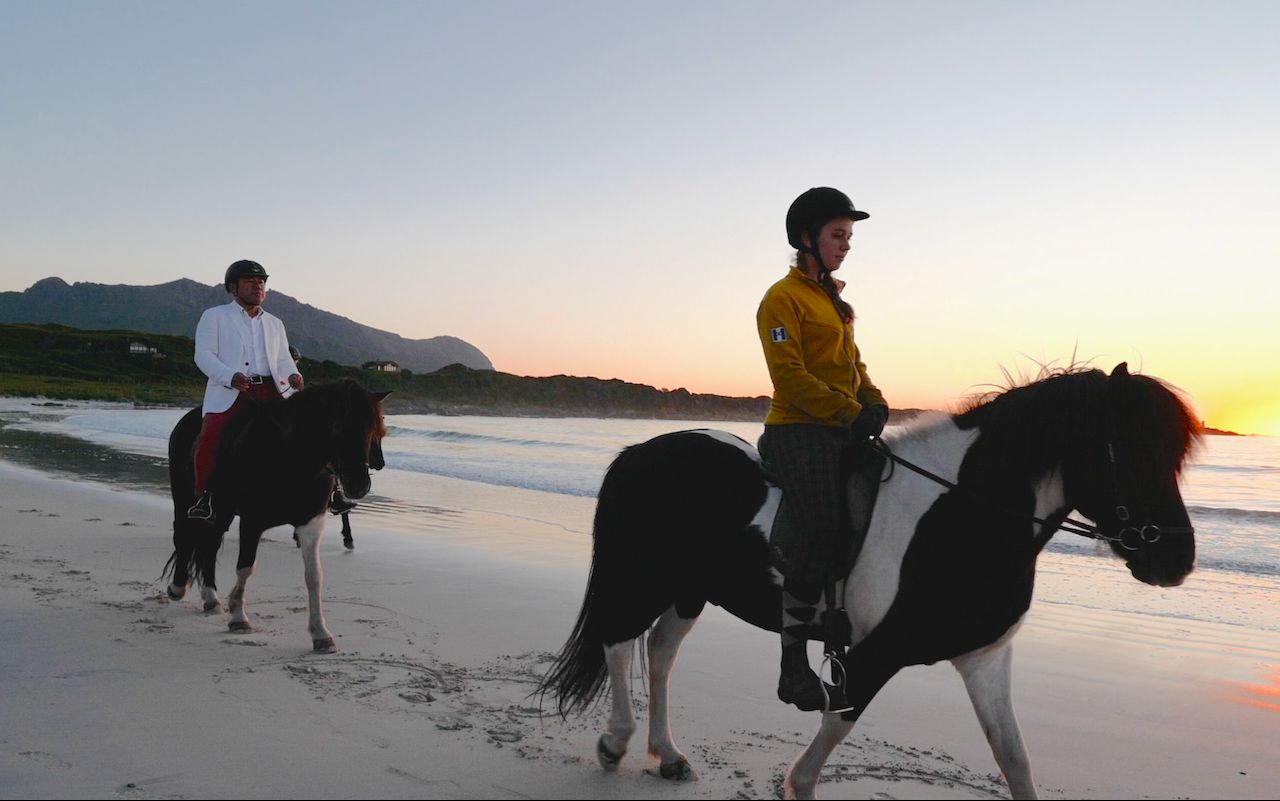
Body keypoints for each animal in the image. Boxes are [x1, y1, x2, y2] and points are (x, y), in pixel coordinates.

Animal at [165, 376, 386, 650]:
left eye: (372, 428)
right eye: (338, 426)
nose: (359, 485)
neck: (292, 457)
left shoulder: (311, 523)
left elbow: (314, 576)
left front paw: (320, 632)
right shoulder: (251, 521)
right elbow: (245, 567)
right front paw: (238, 617)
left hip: (222, 511)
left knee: (210, 544)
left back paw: (211, 598)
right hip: (183, 497)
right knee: (184, 537)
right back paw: (178, 587)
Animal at [532, 363, 1198, 798]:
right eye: (1128, 450)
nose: (1177, 560)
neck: (960, 515)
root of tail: (642, 451)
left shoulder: (984, 660)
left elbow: (1014, 759)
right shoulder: (879, 653)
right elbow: (825, 743)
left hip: (691, 590)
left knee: (661, 653)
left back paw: (667, 756)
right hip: (643, 576)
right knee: (619, 642)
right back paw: (616, 742)